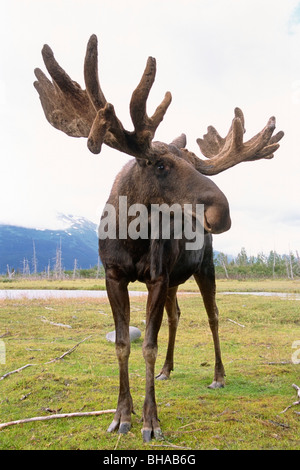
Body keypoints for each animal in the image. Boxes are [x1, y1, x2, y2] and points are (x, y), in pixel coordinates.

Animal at [33, 34, 284, 440]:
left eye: (195, 166)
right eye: (161, 165)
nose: (223, 212)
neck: (131, 237)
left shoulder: (155, 277)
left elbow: (147, 345)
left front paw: (150, 420)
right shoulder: (115, 276)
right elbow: (123, 344)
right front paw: (122, 414)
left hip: (203, 268)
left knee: (213, 316)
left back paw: (218, 375)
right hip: (174, 279)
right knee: (176, 315)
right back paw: (168, 369)